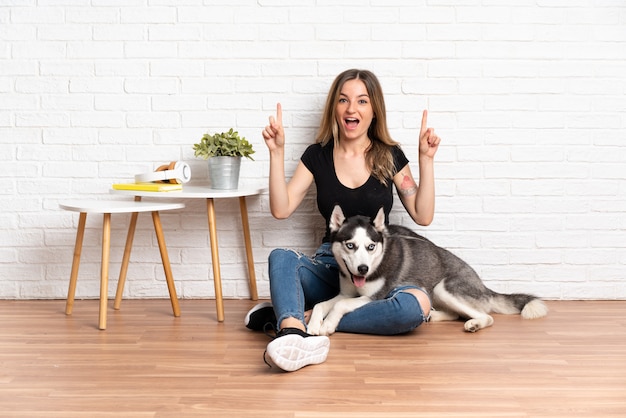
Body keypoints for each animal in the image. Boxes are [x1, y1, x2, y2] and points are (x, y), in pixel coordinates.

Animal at [308, 206, 544, 336]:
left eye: (371, 247)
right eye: (350, 245)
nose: (362, 269)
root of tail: (483, 286)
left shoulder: (374, 297)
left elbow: (341, 305)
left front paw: (328, 324)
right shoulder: (345, 292)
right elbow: (322, 304)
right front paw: (313, 323)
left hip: (444, 288)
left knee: (486, 316)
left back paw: (474, 323)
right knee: (454, 312)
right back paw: (434, 315)